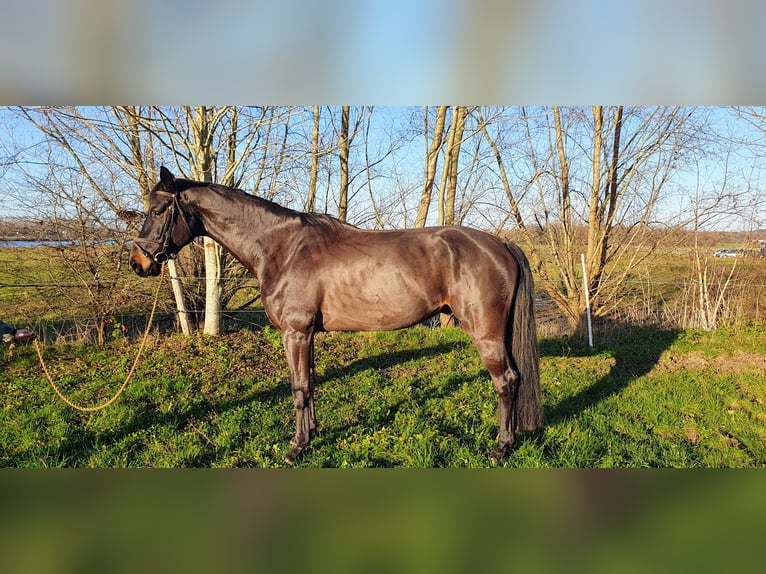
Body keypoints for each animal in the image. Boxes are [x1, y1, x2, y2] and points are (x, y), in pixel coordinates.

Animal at [130, 166, 544, 465]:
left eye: (157, 210)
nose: (138, 263)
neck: (280, 248)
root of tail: (500, 243)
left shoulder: (295, 332)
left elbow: (298, 389)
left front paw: (296, 448)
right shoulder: (307, 335)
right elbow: (310, 385)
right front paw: (310, 436)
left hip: (486, 332)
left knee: (506, 380)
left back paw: (501, 447)